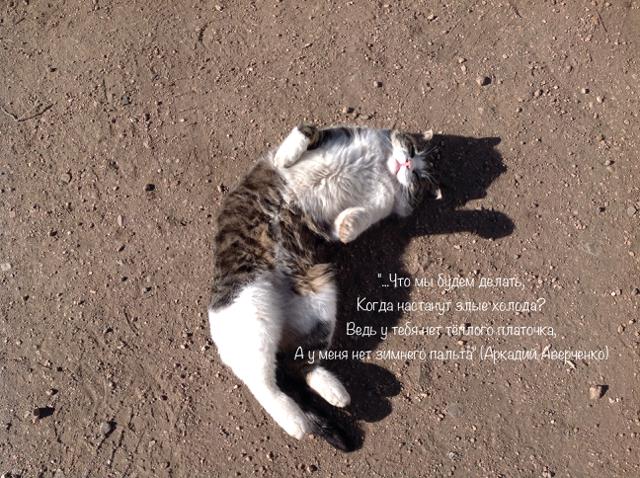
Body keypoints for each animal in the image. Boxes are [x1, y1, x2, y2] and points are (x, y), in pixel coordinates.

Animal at [208, 124, 438, 451]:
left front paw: (347, 227)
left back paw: (329, 396)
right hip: (251, 306)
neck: (381, 167)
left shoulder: (381, 203)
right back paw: (295, 420)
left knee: (297, 367)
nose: (407, 164)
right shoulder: (314, 142)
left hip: (319, 308)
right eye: (414, 152)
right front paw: (295, 148)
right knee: (261, 380)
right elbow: (301, 137)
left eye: (418, 175)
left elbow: (362, 216)